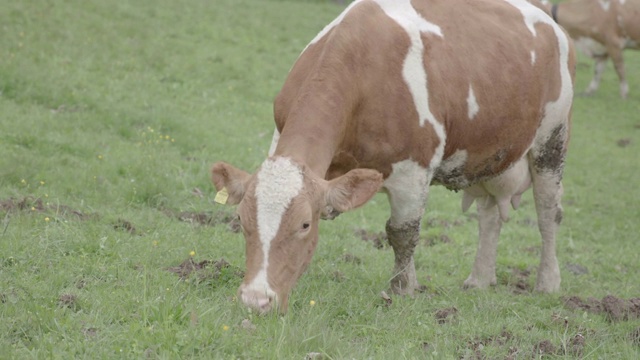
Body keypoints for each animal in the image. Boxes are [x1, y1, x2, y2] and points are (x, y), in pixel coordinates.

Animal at [212, 0, 576, 314]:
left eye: (304, 224)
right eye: (242, 219)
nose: (255, 300)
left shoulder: (413, 170)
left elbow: (402, 233)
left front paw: (403, 289)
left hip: (552, 139)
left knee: (548, 212)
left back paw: (547, 282)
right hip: (489, 153)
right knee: (489, 215)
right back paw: (479, 279)